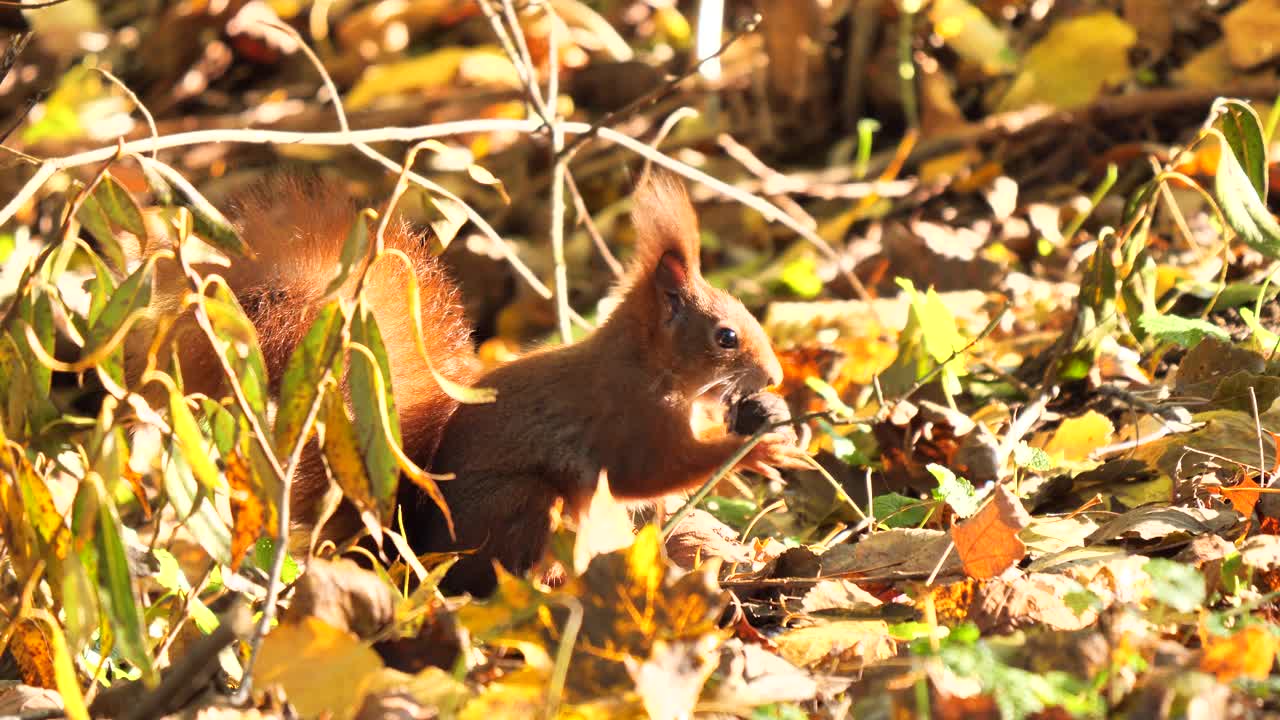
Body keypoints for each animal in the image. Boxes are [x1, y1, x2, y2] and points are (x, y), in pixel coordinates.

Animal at [132, 170, 808, 591]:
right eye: (726, 336)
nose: (775, 375)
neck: (648, 366)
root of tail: (412, 555)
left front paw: (766, 421)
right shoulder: (625, 418)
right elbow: (653, 471)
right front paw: (757, 449)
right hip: (526, 506)